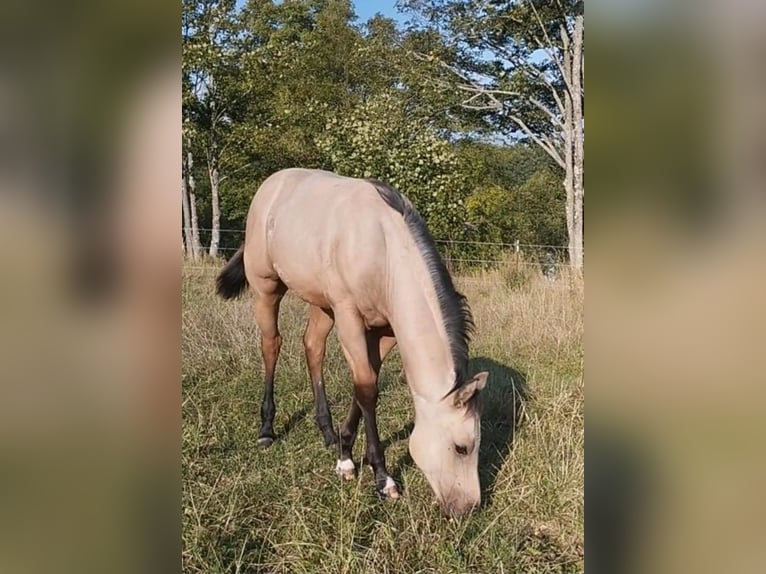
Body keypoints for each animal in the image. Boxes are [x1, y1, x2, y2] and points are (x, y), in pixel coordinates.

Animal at [216, 168, 488, 516]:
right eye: (461, 447)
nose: (469, 508)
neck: (384, 249)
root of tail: (272, 183)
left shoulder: (385, 330)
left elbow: (365, 384)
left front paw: (344, 454)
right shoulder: (349, 318)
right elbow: (367, 388)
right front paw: (383, 479)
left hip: (321, 304)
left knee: (313, 346)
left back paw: (327, 432)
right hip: (267, 288)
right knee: (271, 345)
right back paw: (266, 430)